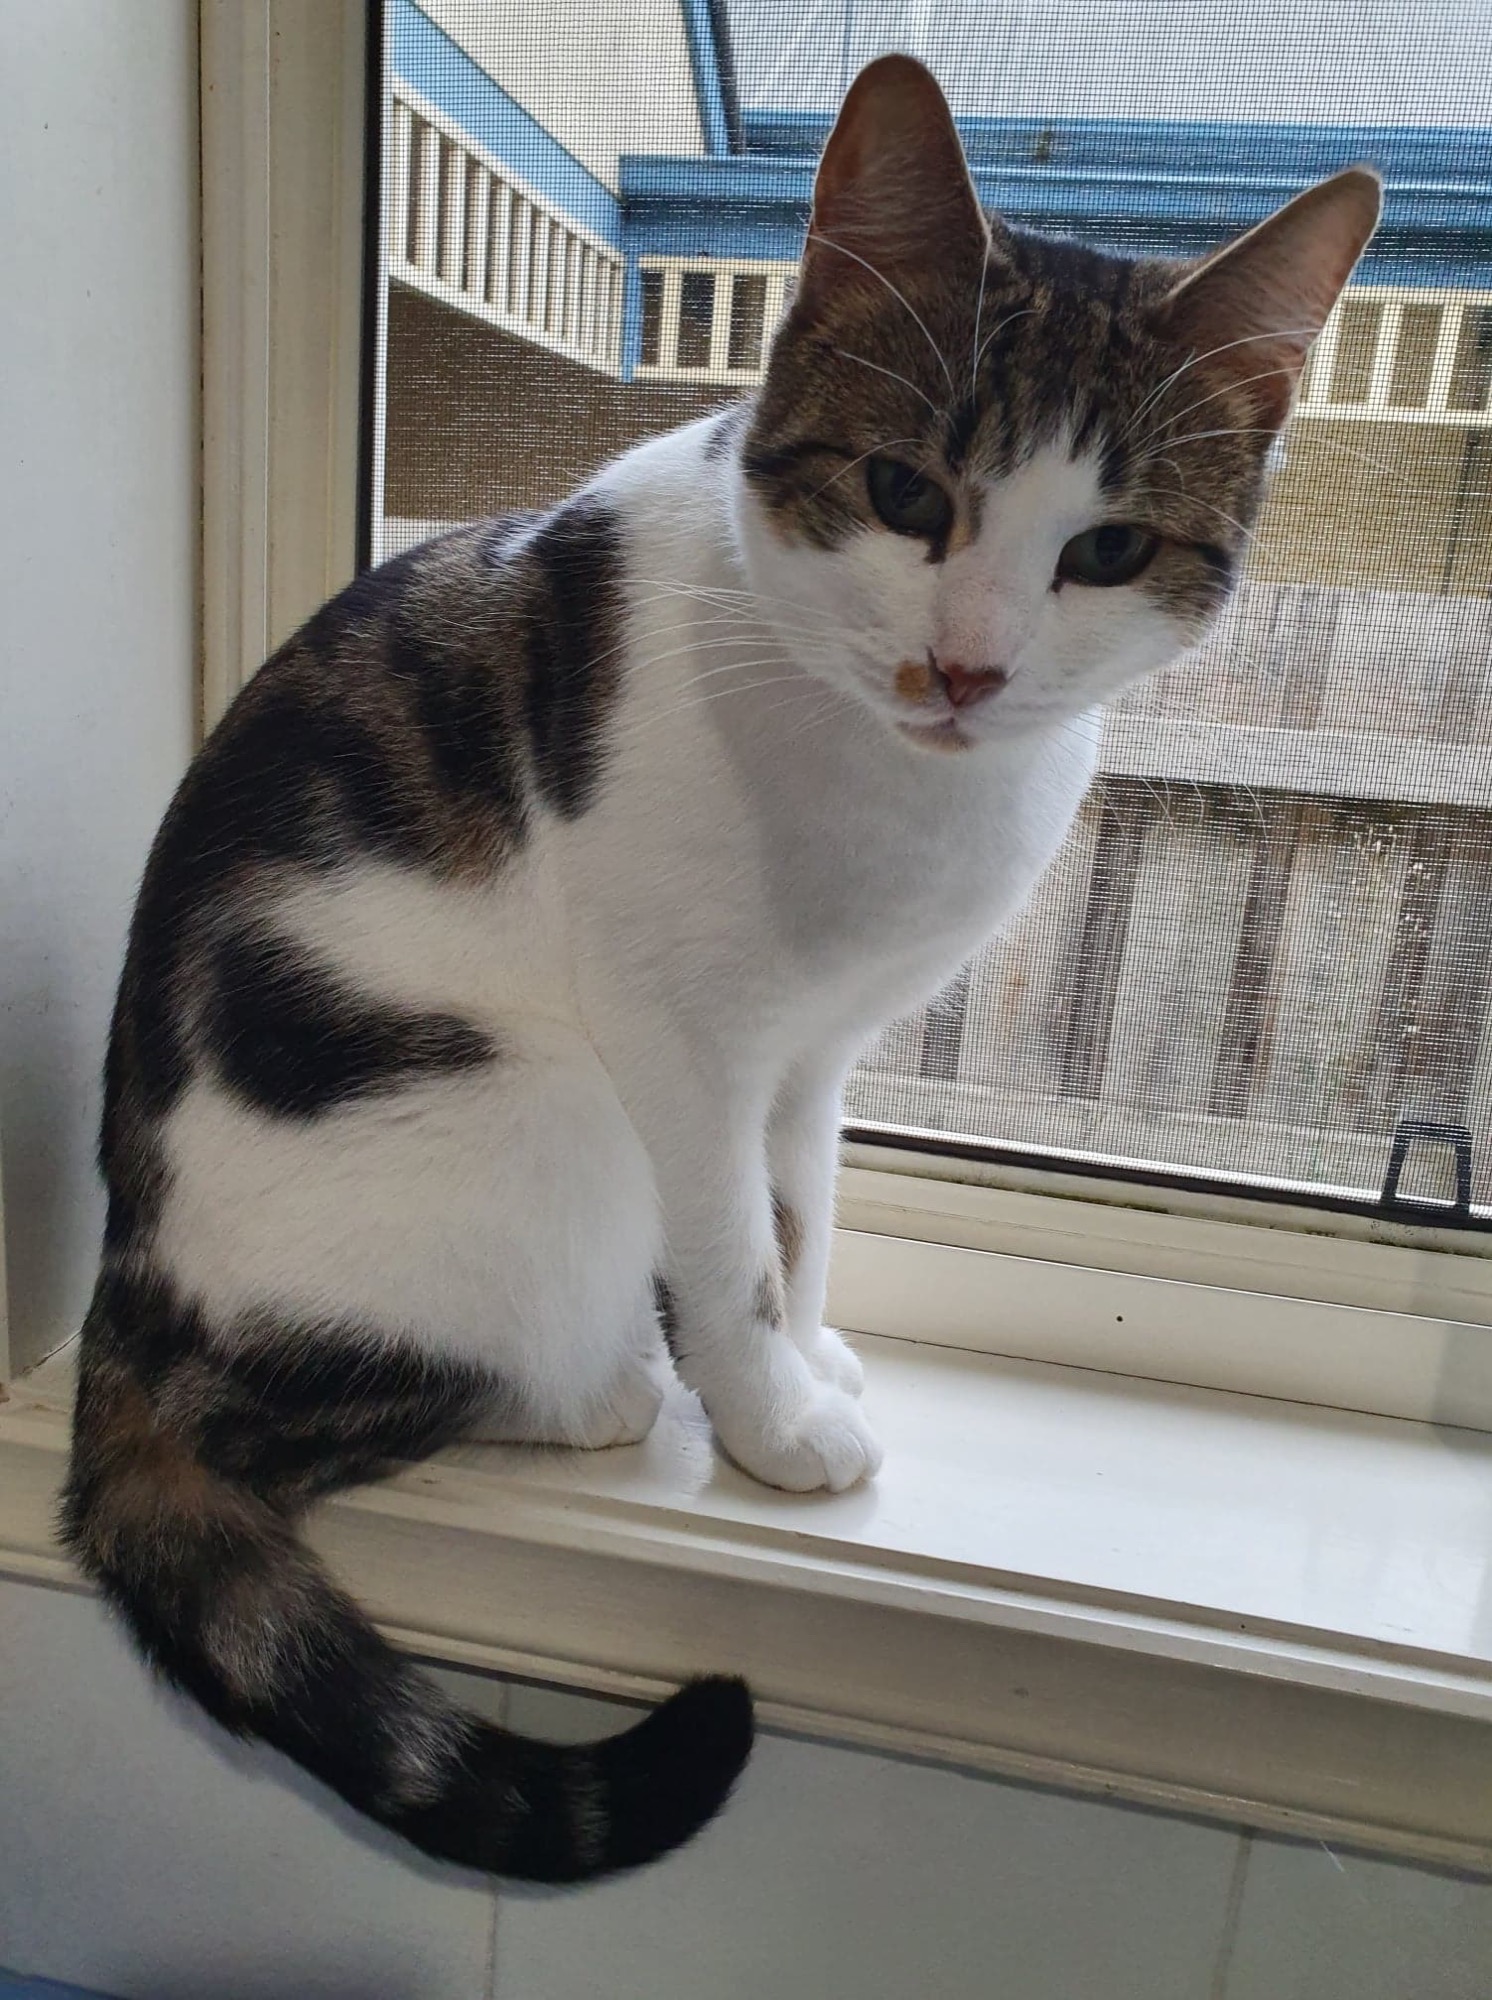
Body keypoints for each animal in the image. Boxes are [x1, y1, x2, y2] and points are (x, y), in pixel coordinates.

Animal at [61, 54, 1379, 1883]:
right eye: (907, 494)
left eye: (1108, 551)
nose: (965, 667)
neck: (887, 772)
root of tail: (125, 1309)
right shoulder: (679, 1039)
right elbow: (731, 1244)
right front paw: (770, 1421)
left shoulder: (815, 1057)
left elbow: (802, 1217)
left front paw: (810, 1356)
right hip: (533, 1111)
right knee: (336, 1405)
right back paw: (609, 1386)